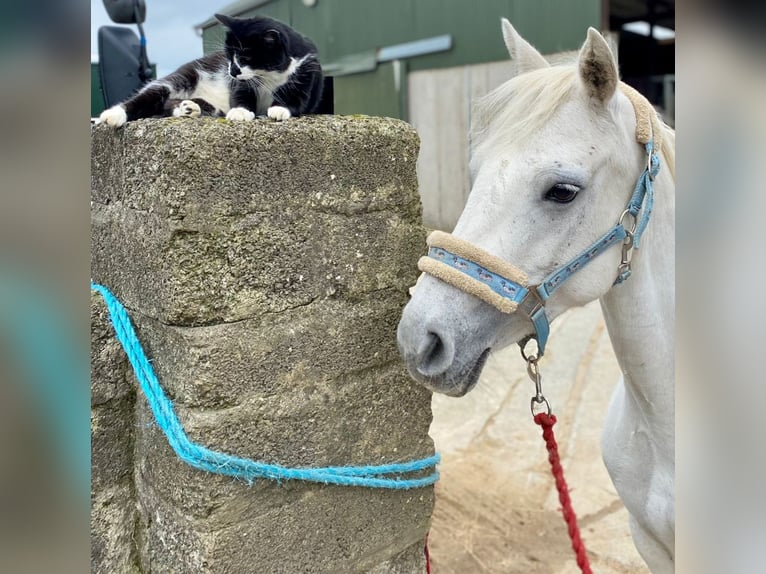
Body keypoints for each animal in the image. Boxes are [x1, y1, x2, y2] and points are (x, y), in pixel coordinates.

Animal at [97, 14, 324, 129]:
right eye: (229, 55)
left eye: (245, 57)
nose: (232, 72)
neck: (268, 76)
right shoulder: (240, 83)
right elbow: (241, 93)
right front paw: (241, 111)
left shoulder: (309, 73)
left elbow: (297, 99)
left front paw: (279, 109)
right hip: (186, 75)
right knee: (153, 95)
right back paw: (113, 115)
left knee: (168, 105)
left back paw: (189, 108)